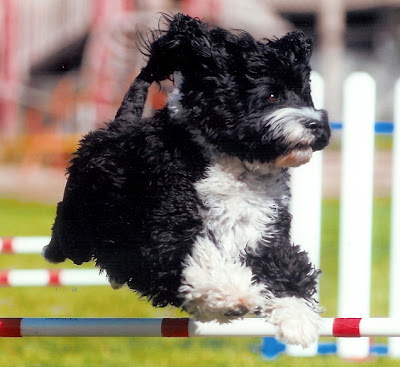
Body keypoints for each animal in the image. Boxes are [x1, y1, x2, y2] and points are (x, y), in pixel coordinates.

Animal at [43, 14, 332, 348]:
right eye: (272, 94)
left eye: (304, 94)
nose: (316, 126)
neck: (229, 163)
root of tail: (117, 126)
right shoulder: (164, 236)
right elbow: (199, 258)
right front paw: (234, 295)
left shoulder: (263, 235)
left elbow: (288, 268)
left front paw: (297, 319)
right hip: (78, 225)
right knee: (68, 238)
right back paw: (53, 251)